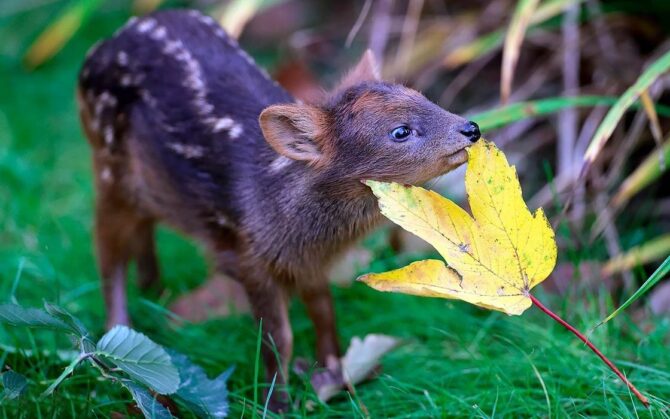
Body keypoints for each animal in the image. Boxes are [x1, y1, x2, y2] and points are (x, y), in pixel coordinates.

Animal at [76, 9, 480, 410]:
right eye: (400, 132)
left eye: (424, 97)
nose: (472, 128)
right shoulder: (249, 261)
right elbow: (277, 338)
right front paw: (277, 403)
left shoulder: (309, 261)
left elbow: (324, 311)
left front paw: (336, 376)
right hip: (108, 169)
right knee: (106, 250)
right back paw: (112, 344)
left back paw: (155, 292)